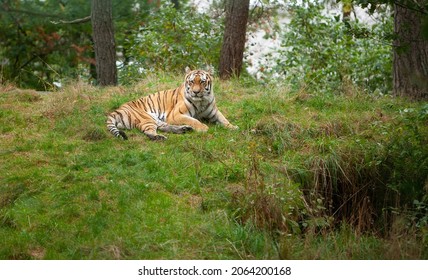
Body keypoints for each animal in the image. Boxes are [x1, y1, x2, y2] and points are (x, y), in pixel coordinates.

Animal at [105, 68, 236, 140]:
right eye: (191, 82)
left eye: (202, 82)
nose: (196, 92)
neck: (201, 101)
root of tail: (116, 111)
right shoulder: (175, 115)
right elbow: (193, 120)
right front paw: (203, 128)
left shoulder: (214, 112)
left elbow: (224, 119)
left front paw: (233, 127)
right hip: (146, 118)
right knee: (149, 132)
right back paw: (161, 138)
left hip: (154, 119)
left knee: (163, 126)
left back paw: (183, 129)